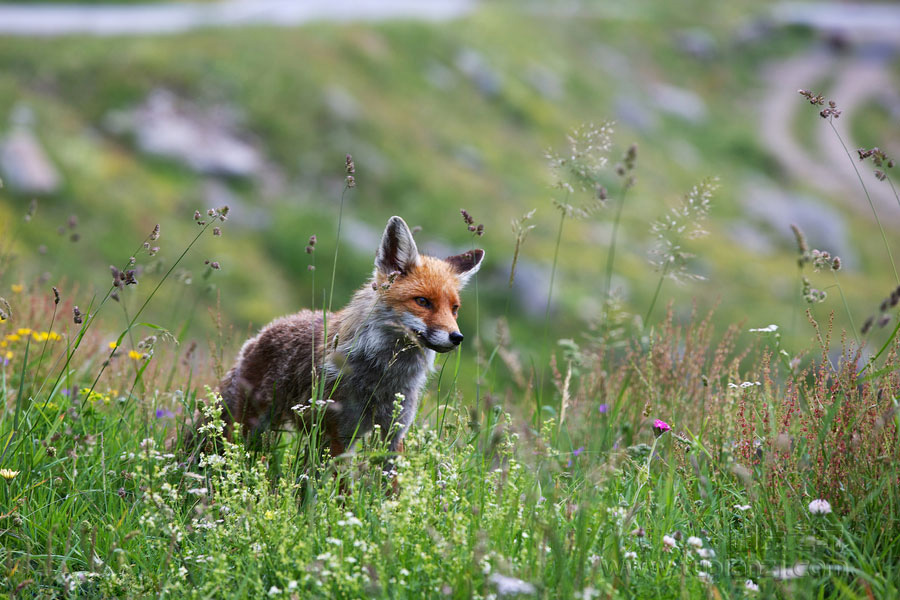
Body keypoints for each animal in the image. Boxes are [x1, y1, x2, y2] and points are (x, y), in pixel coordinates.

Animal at [212, 218, 486, 466]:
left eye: (454, 309)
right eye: (423, 302)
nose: (457, 337)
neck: (383, 375)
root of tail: (261, 334)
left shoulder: (393, 433)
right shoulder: (340, 435)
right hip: (248, 426)